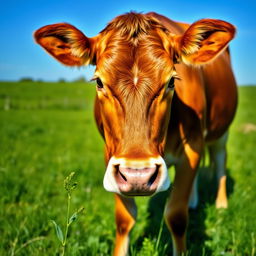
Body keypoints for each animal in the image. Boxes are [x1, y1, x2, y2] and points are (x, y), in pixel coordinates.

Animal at [34, 12, 238, 256]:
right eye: (99, 81)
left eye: (172, 81)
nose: (137, 176)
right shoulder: (110, 155)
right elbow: (124, 220)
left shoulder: (194, 145)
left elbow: (176, 216)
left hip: (222, 131)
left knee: (220, 161)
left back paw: (221, 204)